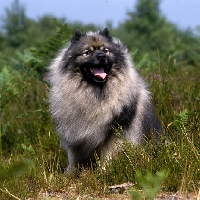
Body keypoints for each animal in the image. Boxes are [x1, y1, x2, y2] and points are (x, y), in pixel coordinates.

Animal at [48, 27, 162, 173]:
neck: (95, 94)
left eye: (106, 50)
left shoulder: (114, 131)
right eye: (88, 52)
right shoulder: (73, 133)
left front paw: (104, 172)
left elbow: (108, 154)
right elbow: (73, 157)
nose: (102, 56)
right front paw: (70, 174)